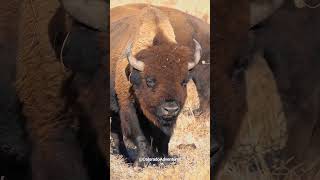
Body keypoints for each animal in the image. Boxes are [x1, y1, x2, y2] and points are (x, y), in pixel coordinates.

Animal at [110, 3, 210, 166]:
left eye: (184, 82)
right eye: (149, 81)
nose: (170, 109)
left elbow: (163, 137)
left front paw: (163, 159)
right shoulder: (127, 105)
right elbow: (139, 136)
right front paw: (140, 164)